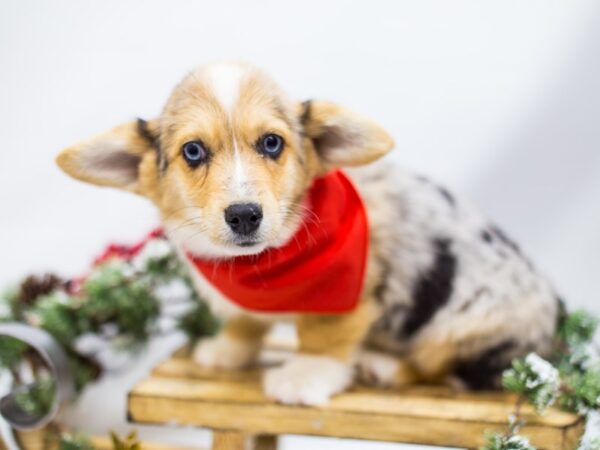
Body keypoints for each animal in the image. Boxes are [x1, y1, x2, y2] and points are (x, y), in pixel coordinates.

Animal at [56, 62, 556, 404]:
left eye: (272, 142)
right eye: (193, 151)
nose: (244, 216)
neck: (261, 262)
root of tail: (554, 327)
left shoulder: (350, 293)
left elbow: (323, 336)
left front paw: (303, 377)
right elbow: (244, 323)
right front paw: (228, 350)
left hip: (460, 328)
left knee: (449, 372)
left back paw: (384, 366)